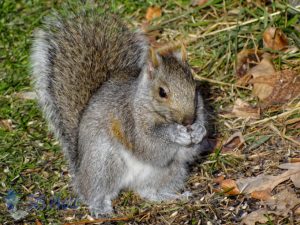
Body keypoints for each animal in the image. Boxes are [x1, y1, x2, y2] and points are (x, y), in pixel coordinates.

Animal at [31, 10, 207, 216]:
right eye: (162, 92)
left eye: (194, 87)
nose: (188, 121)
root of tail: (80, 168)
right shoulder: (127, 120)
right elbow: (149, 147)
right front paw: (174, 133)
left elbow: (188, 152)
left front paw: (199, 131)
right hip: (103, 162)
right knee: (95, 191)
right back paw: (100, 208)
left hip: (170, 172)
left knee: (148, 191)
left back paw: (171, 196)